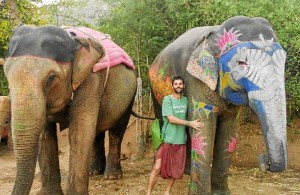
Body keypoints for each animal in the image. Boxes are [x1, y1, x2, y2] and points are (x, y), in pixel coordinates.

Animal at [3, 25, 137, 194]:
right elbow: (45, 135)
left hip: (129, 98)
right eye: (6, 75)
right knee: (97, 133)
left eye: (51, 78)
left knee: (116, 133)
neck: (73, 41)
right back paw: (94, 172)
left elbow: (80, 132)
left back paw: (111, 176)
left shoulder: (91, 80)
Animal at [151, 15, 288, 193]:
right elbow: (203, 128)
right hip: (155, 86)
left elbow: (230, 131)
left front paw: (221, 193)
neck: (215, 34)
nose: (265, 160)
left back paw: (186, 172)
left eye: (284, 62)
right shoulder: (196, 80)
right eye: (241, 63)